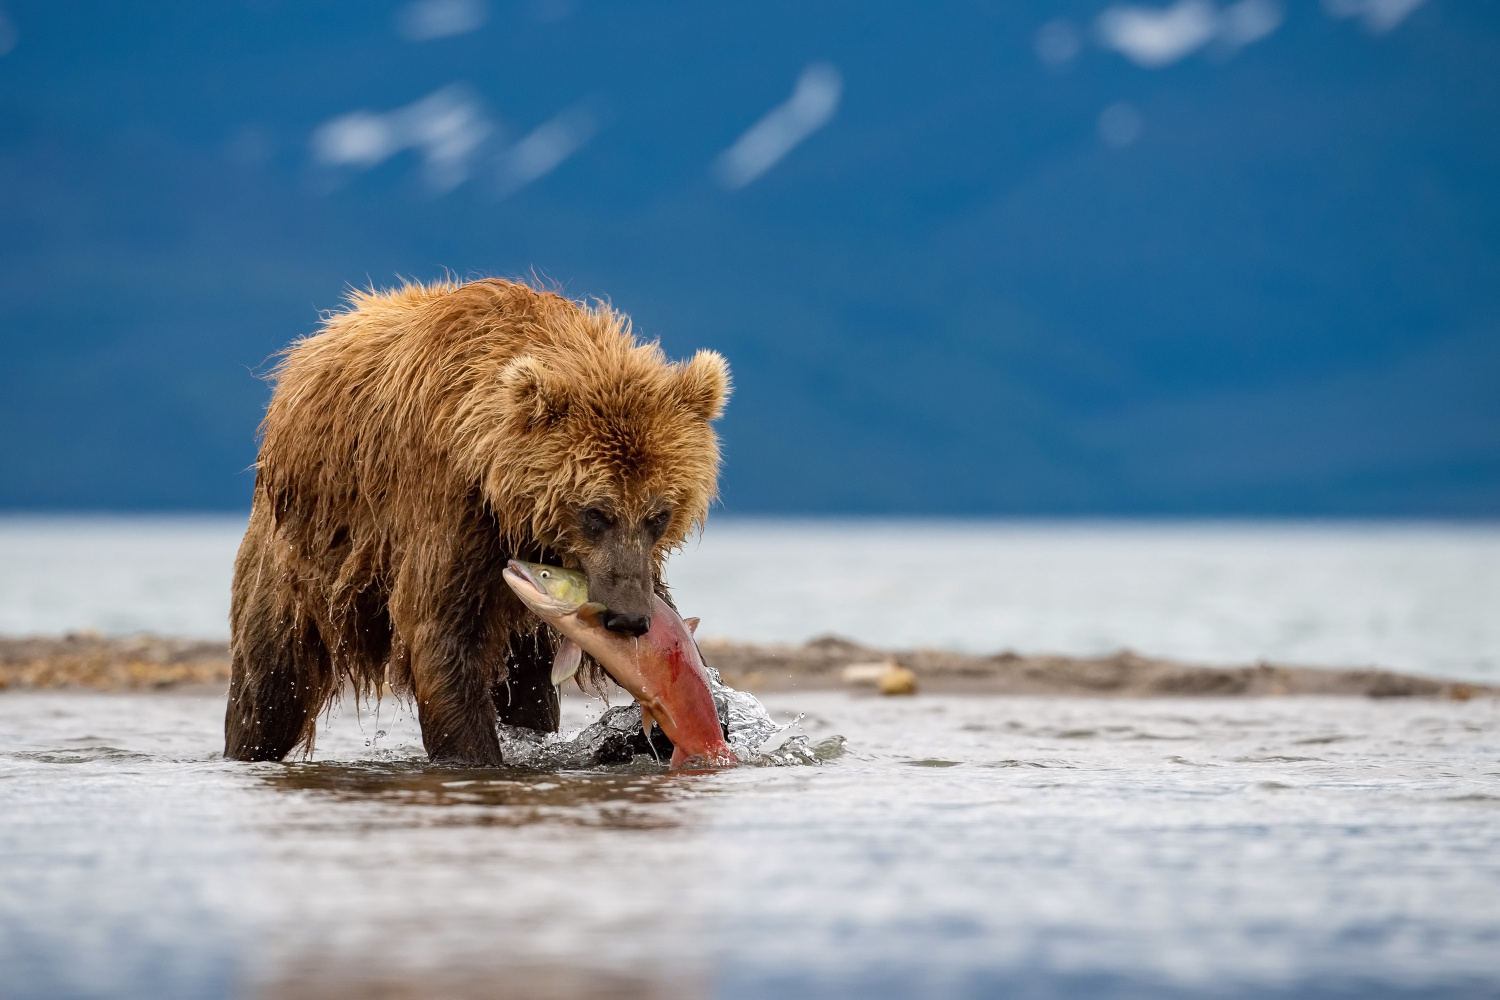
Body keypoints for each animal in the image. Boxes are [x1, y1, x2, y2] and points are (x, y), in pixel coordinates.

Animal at [223, 277, 732, 761]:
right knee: (269, 682)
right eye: (595, 512)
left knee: (529, 691)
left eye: (659, 515)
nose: (628, 619)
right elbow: (444, 637)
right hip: (298, 561)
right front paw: (476, 754)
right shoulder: (447, 506)